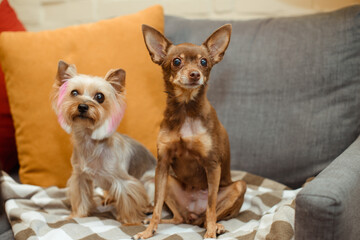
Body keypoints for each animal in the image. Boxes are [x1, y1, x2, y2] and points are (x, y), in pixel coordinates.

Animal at [134, 23, 246, 238]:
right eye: (176, 61)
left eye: (204, 62)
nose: (195, 74)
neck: (185, 109)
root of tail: (193, 215)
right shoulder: (162, 165)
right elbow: (157, 206)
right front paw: (148, 231)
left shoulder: (212, 166)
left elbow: (211, 207)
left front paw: (210, 233)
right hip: (170, 182)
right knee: (178, 218)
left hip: (238, 186)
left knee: (208, 216)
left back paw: (216, 226)